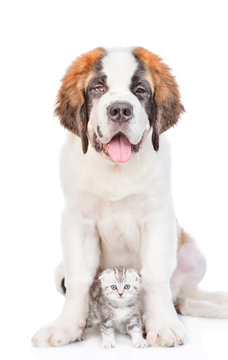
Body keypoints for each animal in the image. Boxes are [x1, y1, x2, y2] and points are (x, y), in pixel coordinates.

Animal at [31, 46, 228, 348]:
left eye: (140, 90)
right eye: (98, 88)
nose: (120, 110)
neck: (115, 170)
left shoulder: (158, 218)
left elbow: (155, 275)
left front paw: (162, 324)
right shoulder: (77, 221)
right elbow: (78, 278)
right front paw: (66, 327)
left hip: (193, 254)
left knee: (183, 296)